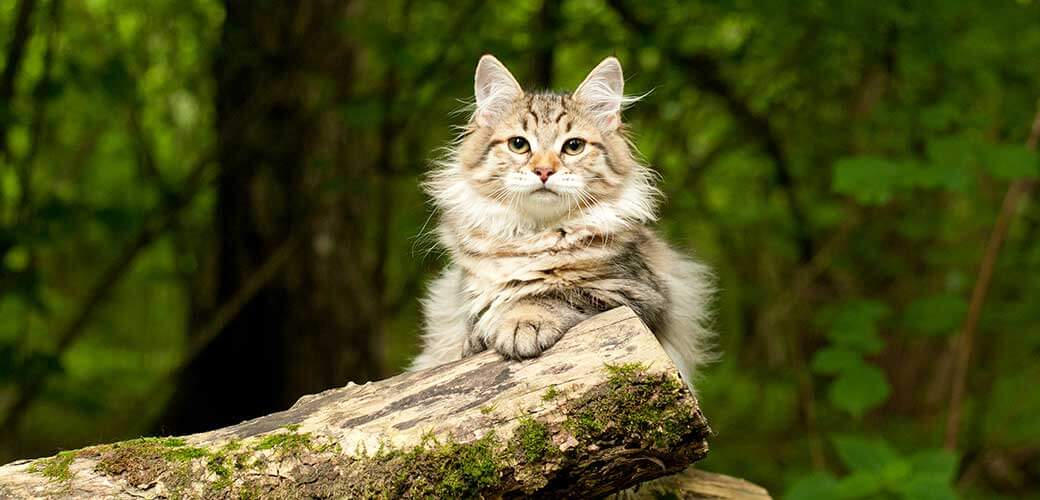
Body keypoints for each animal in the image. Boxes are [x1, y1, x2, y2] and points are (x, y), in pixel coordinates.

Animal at [407, 55, 715, 386]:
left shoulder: (638, 293)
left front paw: (521, 322)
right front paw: (481, 335)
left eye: (573, 146)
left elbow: (551, 293)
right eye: (519, 144)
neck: (534, 236)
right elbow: (480, 316)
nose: (544, 171)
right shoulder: (465, 294)